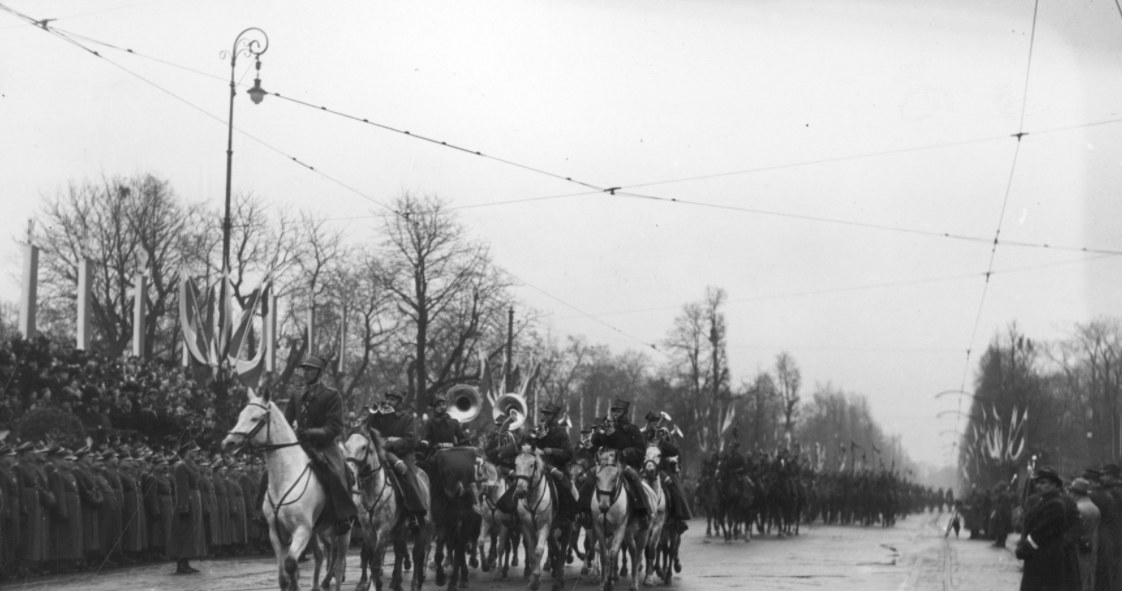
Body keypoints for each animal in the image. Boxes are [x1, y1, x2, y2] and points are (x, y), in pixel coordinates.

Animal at [221, 388, 347, 591]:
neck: (285, 478)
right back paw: (318, 584)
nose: (228, 443)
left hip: (342, 530)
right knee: (321, 555)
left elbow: (291, 564)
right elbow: (283, 575)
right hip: (317, 530)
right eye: (240, 415)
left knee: (339, 561)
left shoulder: (302, 530)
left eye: (255, 418)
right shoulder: (276, 532)